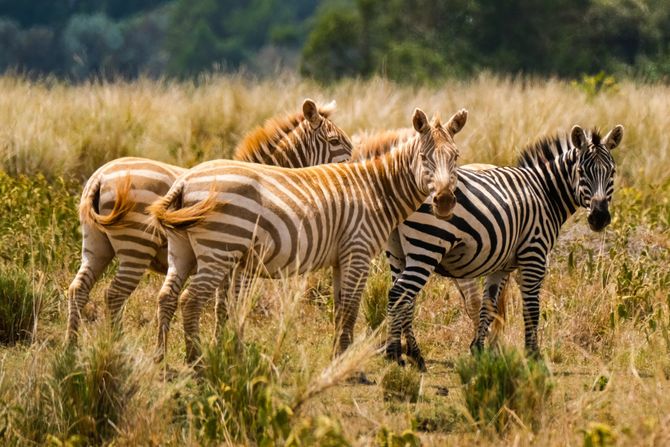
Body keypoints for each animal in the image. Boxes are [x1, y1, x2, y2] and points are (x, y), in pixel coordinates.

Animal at [66, 99, 353, 344]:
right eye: (335, 141)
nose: (354, 168)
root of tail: (100, 176)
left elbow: (221, 307)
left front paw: (220, 344)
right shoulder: (238, 262)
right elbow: (231, 305)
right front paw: (229, 345)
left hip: (96, 244)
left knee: (78, 289)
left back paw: (72, 348)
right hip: (136, 245)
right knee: (114, 294)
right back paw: (117, 343)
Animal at [147, 108, 468, 371]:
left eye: (456, 156)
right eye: (424, 158)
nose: (444, 202)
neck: (376, 189)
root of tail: (185, 180)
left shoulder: (341, 257)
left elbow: (340, 309)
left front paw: (338, 358)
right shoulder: (358, 251)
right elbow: (351, 308)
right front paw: (348, 366)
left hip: (183, 252)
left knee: (167, 296)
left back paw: (161, 359)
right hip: (219, 251)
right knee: (190, 300)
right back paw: (196, 361)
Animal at [384, 124, 624, 370]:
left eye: (612, 172)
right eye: (582, 172)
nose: (599, 218)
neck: (545, 192)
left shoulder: (501, 266)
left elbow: (488, 306)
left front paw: (478, 350)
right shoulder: (534, 254)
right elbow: (531, 308)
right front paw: (533, 355)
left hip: (398, 252)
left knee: (405, 299)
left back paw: (413, 355)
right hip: (427, 247)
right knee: (399, 294)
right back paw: (395, 354)